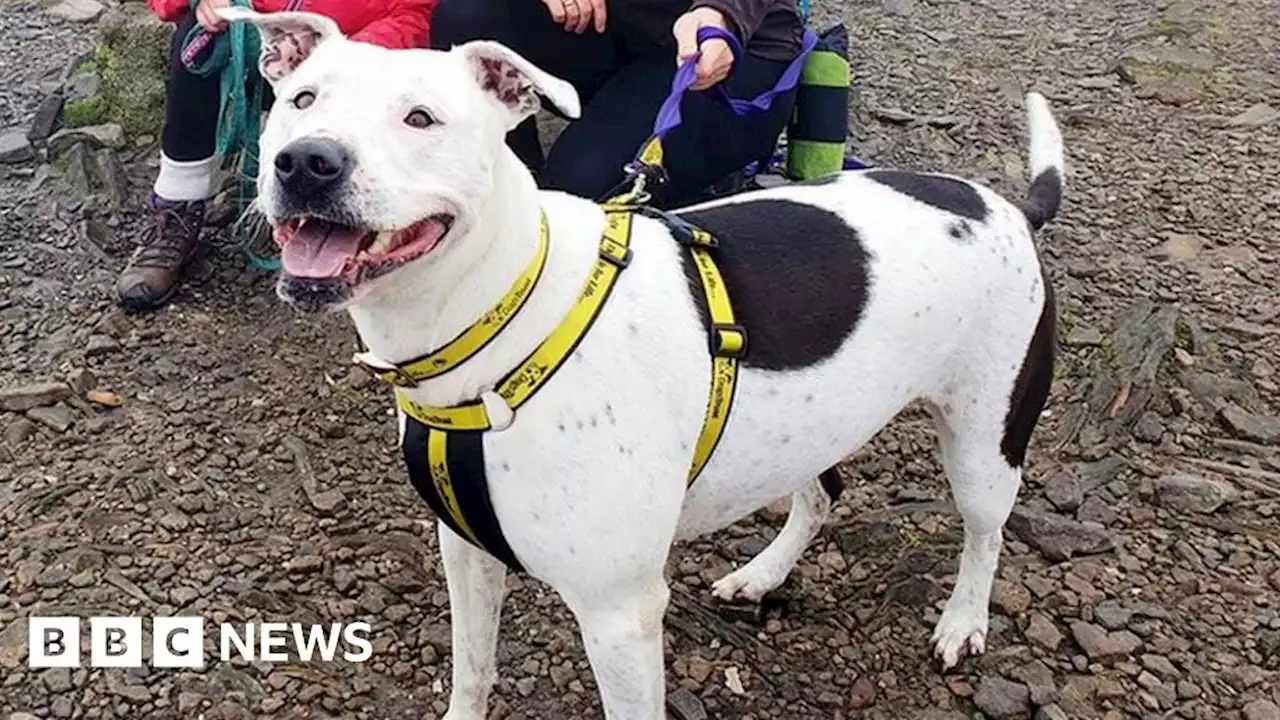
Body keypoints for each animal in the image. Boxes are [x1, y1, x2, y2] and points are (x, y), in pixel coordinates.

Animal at [222, 8, 1070, 712]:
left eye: (421, 117)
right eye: (301, 100)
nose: (306, 162)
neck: (503, 328)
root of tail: (1009, 205)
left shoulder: (619, 615)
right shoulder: (465, 555)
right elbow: (473, 672)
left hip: (985, 443)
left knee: (985, 533)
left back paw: (962, 622)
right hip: (815, 422)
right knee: (824, 490)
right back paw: (764, 573)